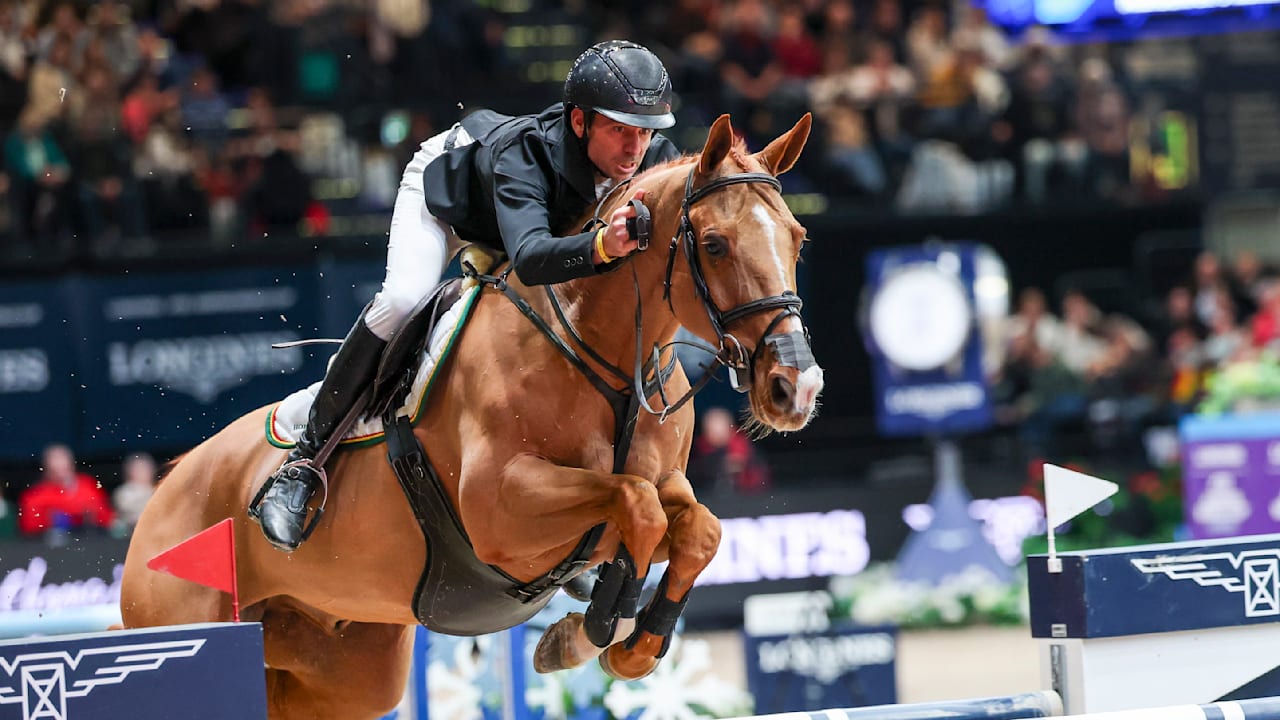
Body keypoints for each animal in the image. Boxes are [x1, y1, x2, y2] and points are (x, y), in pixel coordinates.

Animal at [119, 112, 824, 720]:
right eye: (716, 244)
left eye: (797, 239)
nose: (796, 387)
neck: (604, 349)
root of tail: (169, 485)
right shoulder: (501, 509)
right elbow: (635, 506)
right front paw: (589, 628)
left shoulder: (666, 478)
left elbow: (696, 527)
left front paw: (625, 644)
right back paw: (288, 500)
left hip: (346, 663)